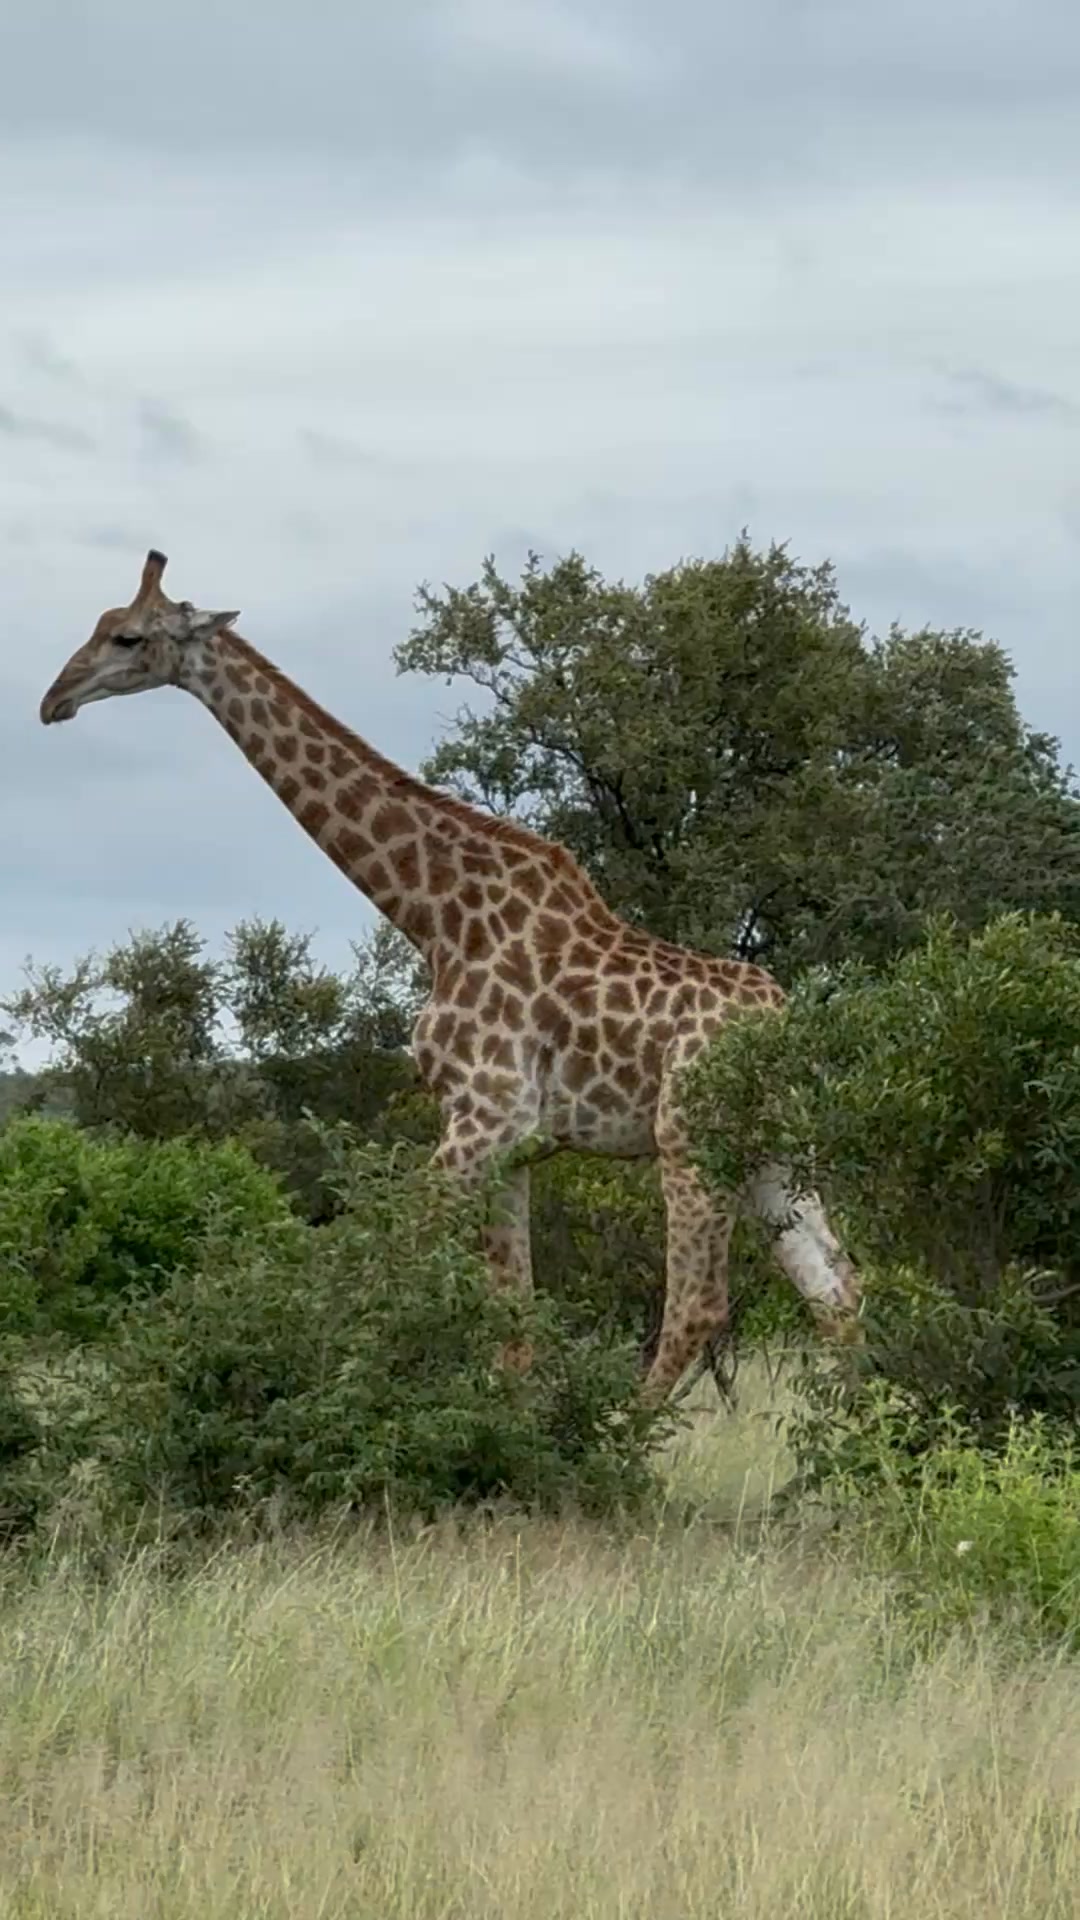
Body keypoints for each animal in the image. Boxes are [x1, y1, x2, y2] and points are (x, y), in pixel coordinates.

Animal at [39, 550, 861, 1402]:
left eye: (129, 637)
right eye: (101, 625)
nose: (53, 699)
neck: (432, 916)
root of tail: (789, 1028)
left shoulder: (484, 1119)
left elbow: (376, 1262)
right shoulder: (513, 1147)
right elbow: (512, 1317)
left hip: (689, 1138)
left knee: (700, 1304)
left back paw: (632, 1433)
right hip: (774, 1150)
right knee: (837, 1289)